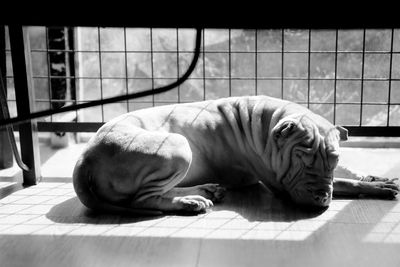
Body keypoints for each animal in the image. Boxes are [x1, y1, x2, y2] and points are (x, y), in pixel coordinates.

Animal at [72, 96, 400, 216]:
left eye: (333, 161)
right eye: (300, 162)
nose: (321, 197)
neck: (270, 122)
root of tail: (84, 158)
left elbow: (348, 176)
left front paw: (376, 181)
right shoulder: (280, 183)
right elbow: (346, 184)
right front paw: (369, 187)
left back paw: (204, 190)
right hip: (178, 145)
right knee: (143, 199)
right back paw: (189, 202)